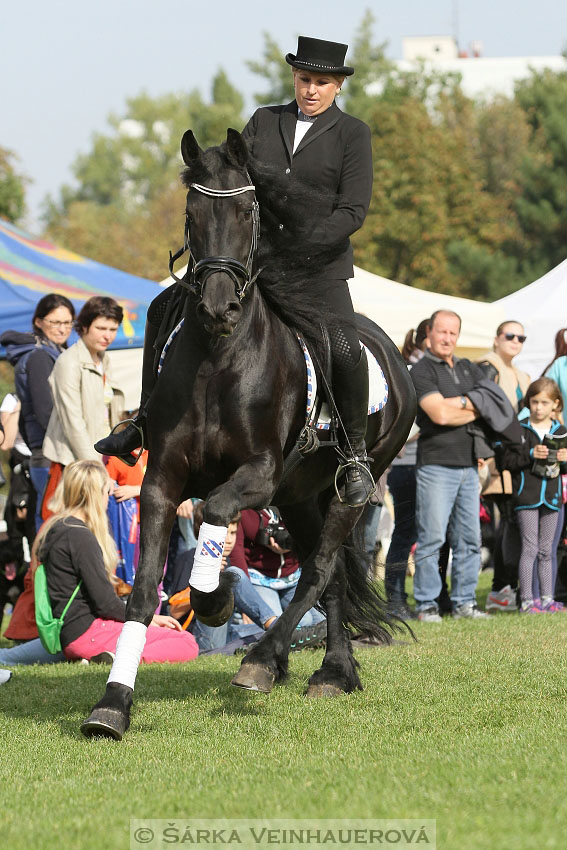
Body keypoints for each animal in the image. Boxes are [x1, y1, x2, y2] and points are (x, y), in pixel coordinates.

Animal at [81, 129, 418, 740]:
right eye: (191, 213)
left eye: (246, 210)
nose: (219, 307)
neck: (219, 359)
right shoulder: (161, 480)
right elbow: (141, 593)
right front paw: (112, 705)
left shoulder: (257, 474)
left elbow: (215, 510)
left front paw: (214, 597)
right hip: (301, 496)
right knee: (331, 576)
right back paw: (331, 670)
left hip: (351, 488)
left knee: (319, 568)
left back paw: (266, 661)